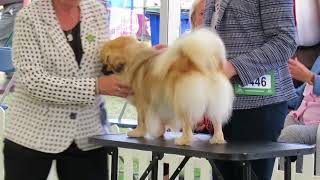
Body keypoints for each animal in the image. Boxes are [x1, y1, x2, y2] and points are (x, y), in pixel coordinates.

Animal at [101, 29, 234, 145]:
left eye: (106, 61)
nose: (101, 69)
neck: (135, 59)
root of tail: (199, 65)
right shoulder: (160, 104)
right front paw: (160, 133)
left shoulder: (142, 104)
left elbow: (141, 120)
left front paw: (137, 133)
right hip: (214, 104)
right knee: (217, 122)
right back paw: (217, 139)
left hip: (183, 103)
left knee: (187, 124)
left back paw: (183, 140)